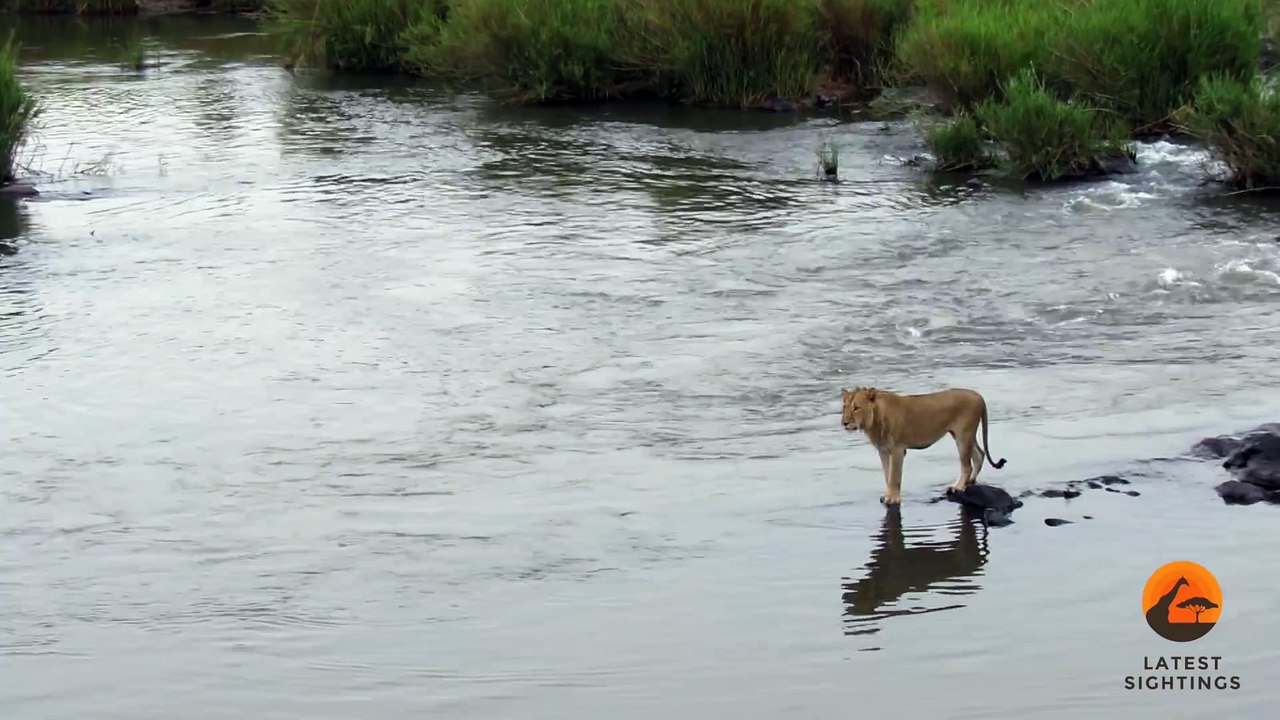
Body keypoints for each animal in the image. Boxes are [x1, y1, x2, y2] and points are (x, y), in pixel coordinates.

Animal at [840, 386, 1007, 505]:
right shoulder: (883, 451)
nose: (844, 423)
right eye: (844, 407)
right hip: (963, 435)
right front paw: (888, 495)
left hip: (963, 436)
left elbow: (894, 476)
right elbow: (887, 475)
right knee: (979, 454)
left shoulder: (898, 450)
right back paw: (970, 481)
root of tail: (979, 396)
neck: (875, 420)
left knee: (967, 465)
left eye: (856, 407)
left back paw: (957, 487)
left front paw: (892, 499)